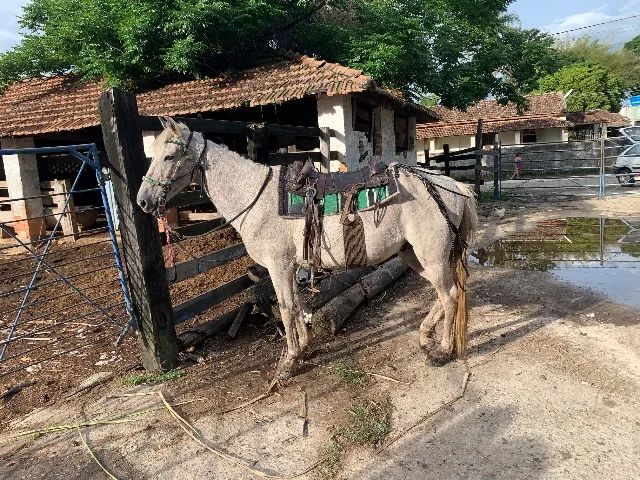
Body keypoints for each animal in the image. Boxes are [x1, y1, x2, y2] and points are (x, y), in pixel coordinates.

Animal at [137, 117, 477, 378]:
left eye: (169, 157)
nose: (142, 202)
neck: (256, 197)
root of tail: (451, 185)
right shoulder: (290, 267)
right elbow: (298, 306)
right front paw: (303, 349)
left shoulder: (278, 266)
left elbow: (287, 308)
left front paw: (289, 362)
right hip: (413, 255)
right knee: (443, 293)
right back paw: (424, 335)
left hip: (431, 256)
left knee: (449, 296)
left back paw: (442, 351)